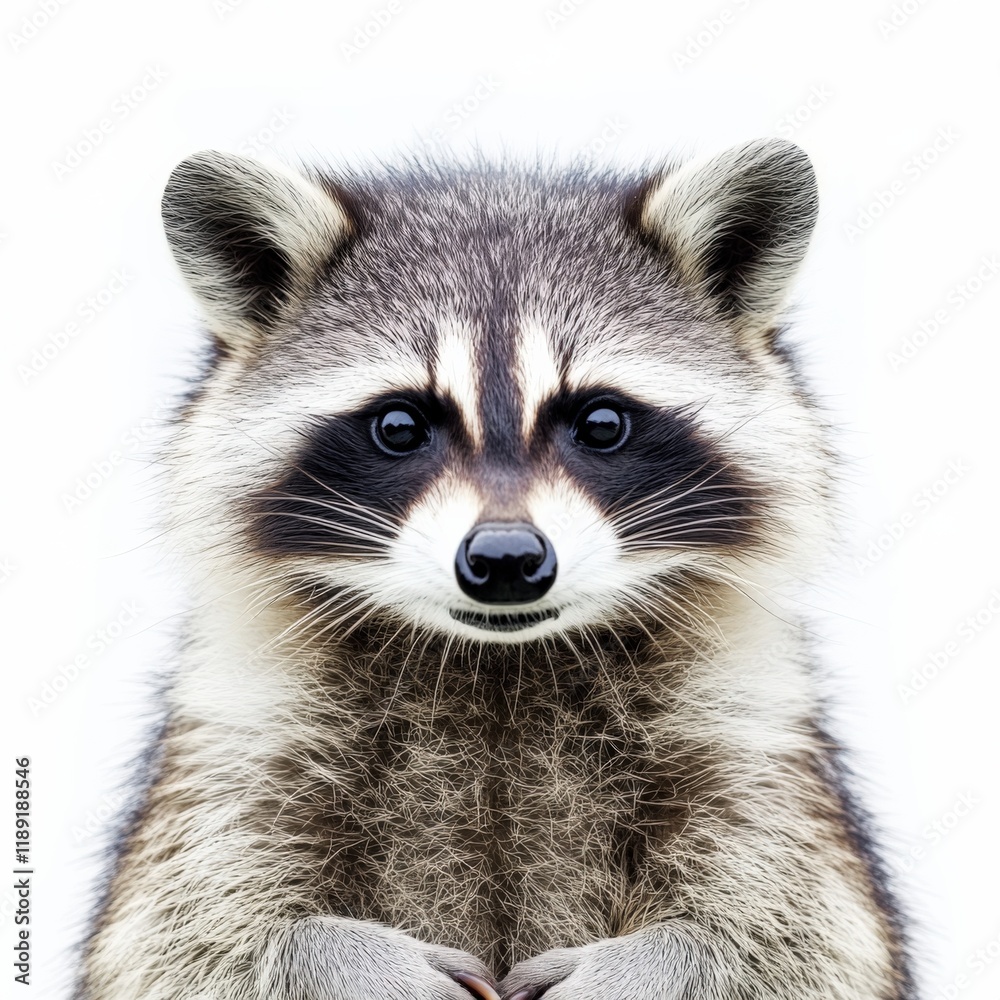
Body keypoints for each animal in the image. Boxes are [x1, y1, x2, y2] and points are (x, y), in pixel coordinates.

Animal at [78, 139, 915, 1000]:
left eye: (601, 423)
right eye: (399, 426)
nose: (507, 559)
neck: (500, 661)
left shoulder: (746, 725)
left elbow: (805, 936)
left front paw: (659, 961)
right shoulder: (243, 727)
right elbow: (178, 935)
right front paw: (332, 953)